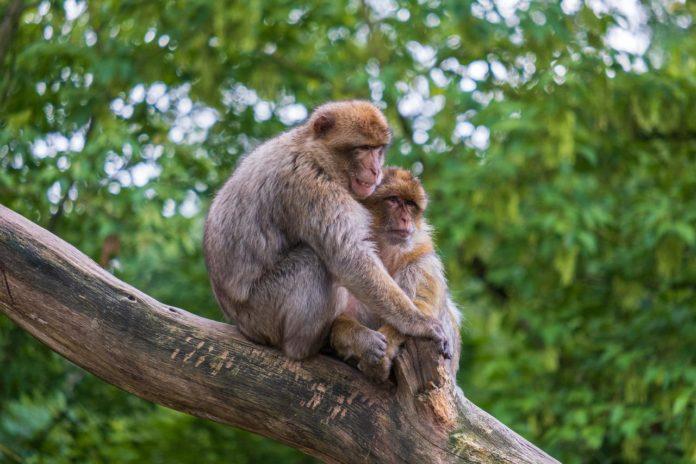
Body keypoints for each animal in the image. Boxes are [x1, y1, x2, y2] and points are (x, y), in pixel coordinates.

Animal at [204, 100, 448, 362]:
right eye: (364, 148)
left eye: (378, 149)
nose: (376, 170)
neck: (313, 152)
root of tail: (241, 324)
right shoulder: (313, 185)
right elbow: (350, 259)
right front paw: (418, 323)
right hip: (264, 313)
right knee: (312, 260)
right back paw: (307, 345)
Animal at [332, 169, 462, 382]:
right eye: (393, 200)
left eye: (409, 204)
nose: (405, 219)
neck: (386, 253)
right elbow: (338, 320)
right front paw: (364, 341)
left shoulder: (421, 263)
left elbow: (420, 309)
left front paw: (382, 358)